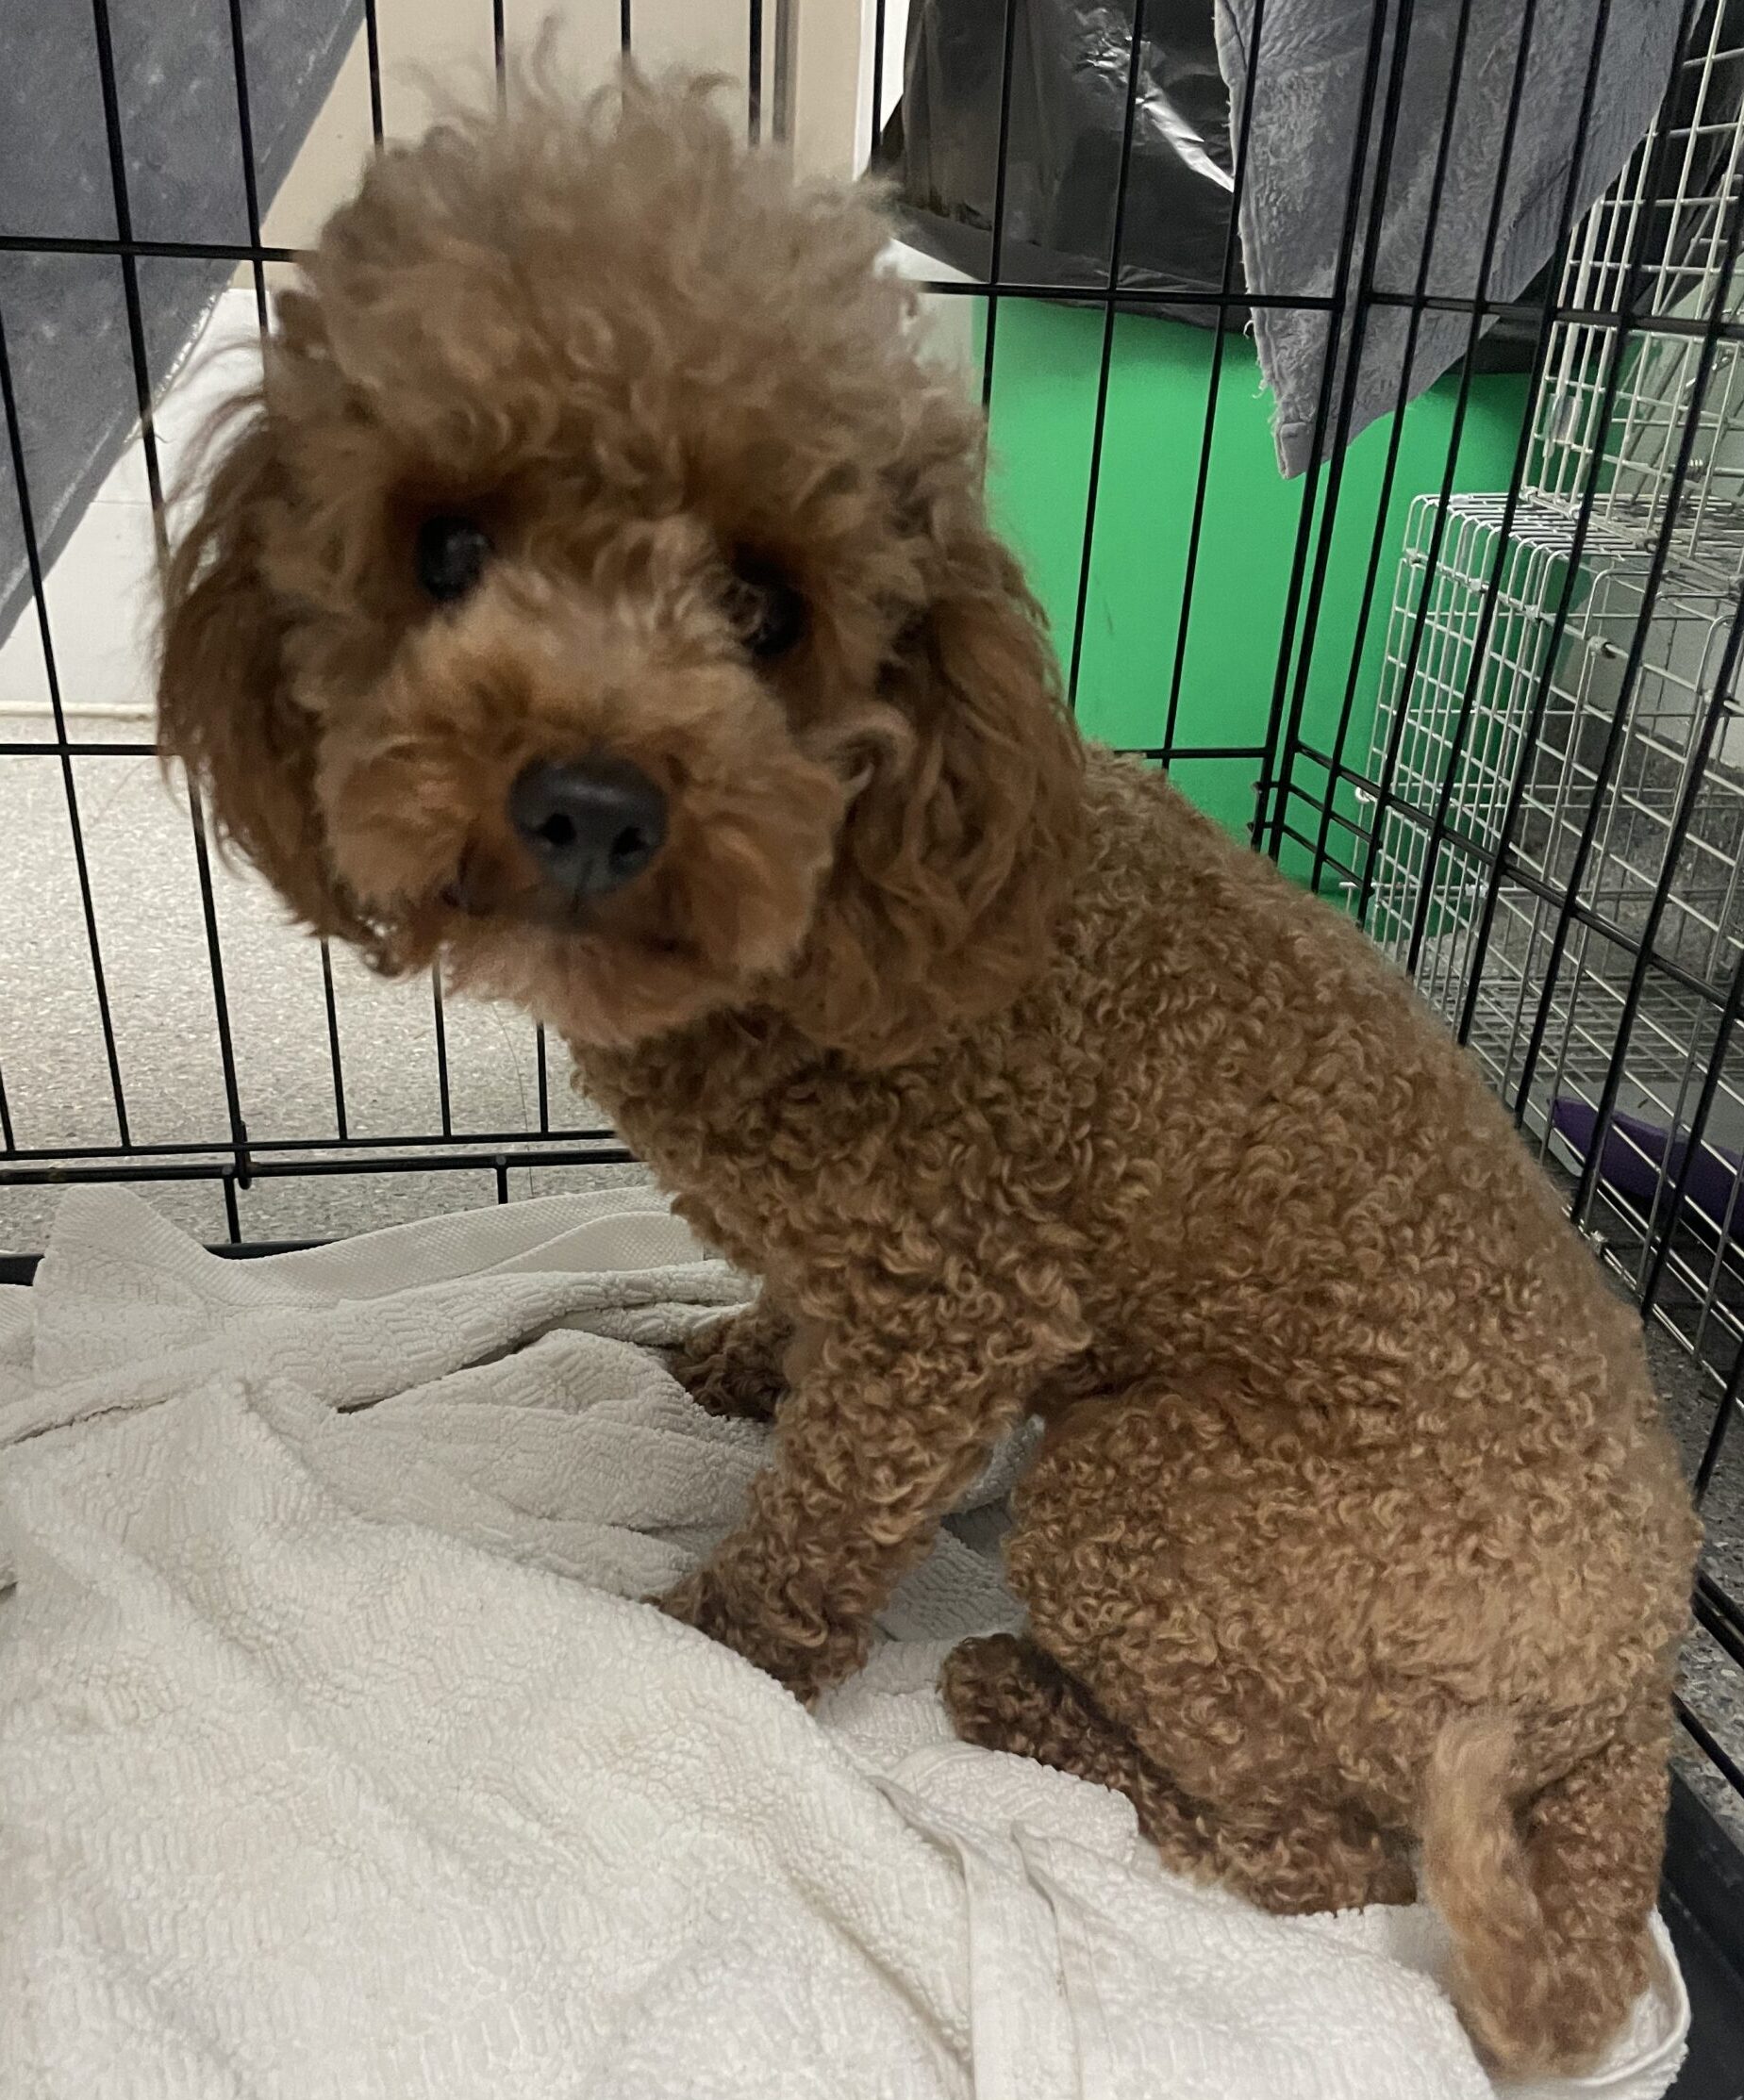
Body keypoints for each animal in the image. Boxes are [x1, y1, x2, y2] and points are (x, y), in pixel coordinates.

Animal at [156, 75, 1698, 2076]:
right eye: (446, 549)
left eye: (763, 603)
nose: (592, 801)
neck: (844, 918)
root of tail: (1638, 1694)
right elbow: (787, 1344)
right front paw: (740, 1356)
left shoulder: (953, 1308)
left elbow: (821, 1517)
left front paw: (717, 1642)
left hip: (1154, 1500)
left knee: (1316, 1856)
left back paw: (1028, 1704)